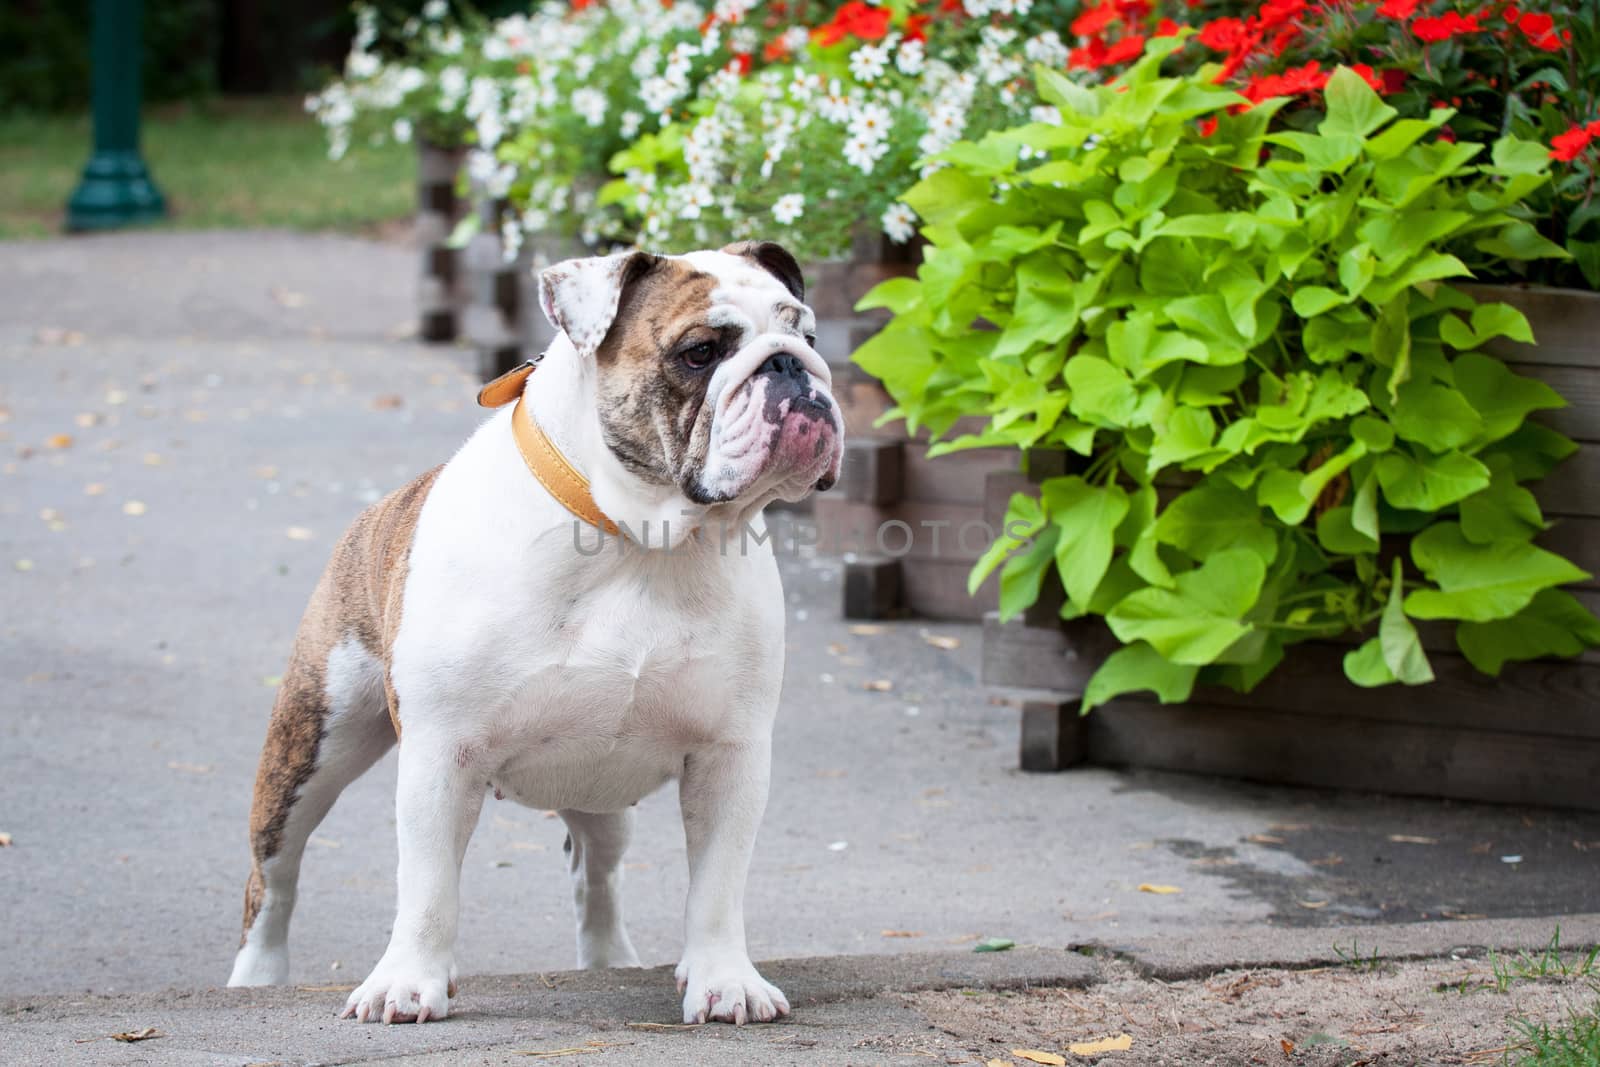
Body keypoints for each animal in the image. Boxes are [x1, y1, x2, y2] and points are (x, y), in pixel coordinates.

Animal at [233, 241, 851, 1023]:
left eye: (808, 336)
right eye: (700, 352)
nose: (791, 367)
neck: (636, 539)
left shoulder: (730, 753)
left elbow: (717, 883)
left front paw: (723, 979)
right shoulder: (441, 753)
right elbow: (427, 885)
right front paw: (406, 983)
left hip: (602, 789)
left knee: (597, 874)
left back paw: (612, 960)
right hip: (316, 741)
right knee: (274, 872)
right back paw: (257, 976)